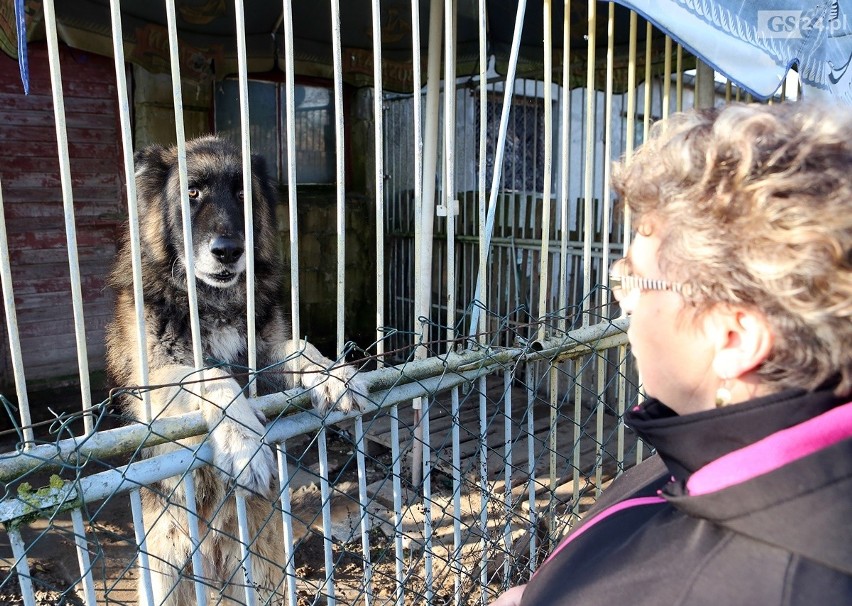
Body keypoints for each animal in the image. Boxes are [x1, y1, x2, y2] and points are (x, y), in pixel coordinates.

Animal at [105, 135, 364, 604]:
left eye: (243, 194)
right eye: (192, 192)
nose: (227, 251)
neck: (215, 303)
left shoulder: (262, 360)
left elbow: (299, 347)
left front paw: (335, 375)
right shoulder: (150, 388)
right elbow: (207, 373)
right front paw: (243, 442)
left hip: (263, 574)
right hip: (167, 576)